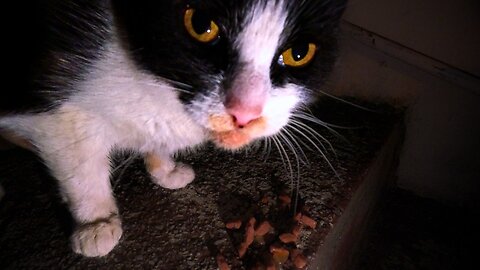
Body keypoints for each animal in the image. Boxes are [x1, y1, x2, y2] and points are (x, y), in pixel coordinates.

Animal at [0, 0, 344, 258]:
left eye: (299, 53)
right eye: (201, 25)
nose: (245, 112)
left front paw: (164, 170)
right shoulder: (57, 104)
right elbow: (80, 164)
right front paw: (96, 222)